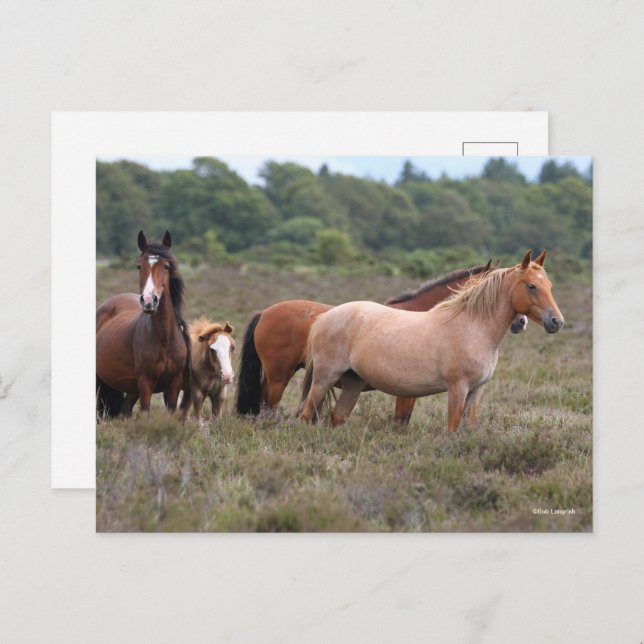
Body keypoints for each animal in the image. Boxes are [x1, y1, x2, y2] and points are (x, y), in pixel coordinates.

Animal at [96, 231, 191, 417]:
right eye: (139, 266)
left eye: (166, 266)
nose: (148, 301)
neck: (164, 338)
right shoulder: (145, 383)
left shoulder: (174, 385)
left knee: (124, 410)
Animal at [236, 259, 527, 423]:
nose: (521, 322)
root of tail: (264, 313)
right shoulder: (407, 394)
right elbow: (400, 422)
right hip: (279, 376)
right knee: (267, 404)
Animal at [298, 250, 563, 432]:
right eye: (531, 286)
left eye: (549, 285)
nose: (556, 322)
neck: (473, 327)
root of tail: (324, 317)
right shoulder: (457, 389)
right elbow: (451, 428)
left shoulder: (476, 391)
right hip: (324, 379)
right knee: (305, 414)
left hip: (353, 383)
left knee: (337, 417)